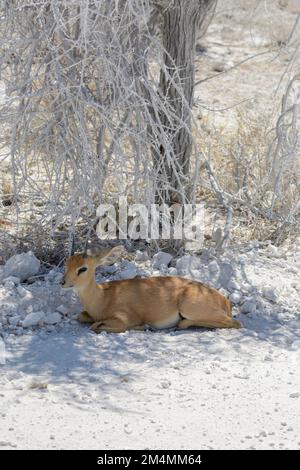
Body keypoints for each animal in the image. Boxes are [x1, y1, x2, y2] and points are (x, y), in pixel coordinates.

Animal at [61, 246, 241, 334]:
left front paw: (143, 326)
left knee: (235, 323)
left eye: (82, 269)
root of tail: (224, 300)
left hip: (190, 308)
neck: (103, 297)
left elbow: (96, 326)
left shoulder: (123, 318)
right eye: (66, 264)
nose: (62, 282)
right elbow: (82, 317)